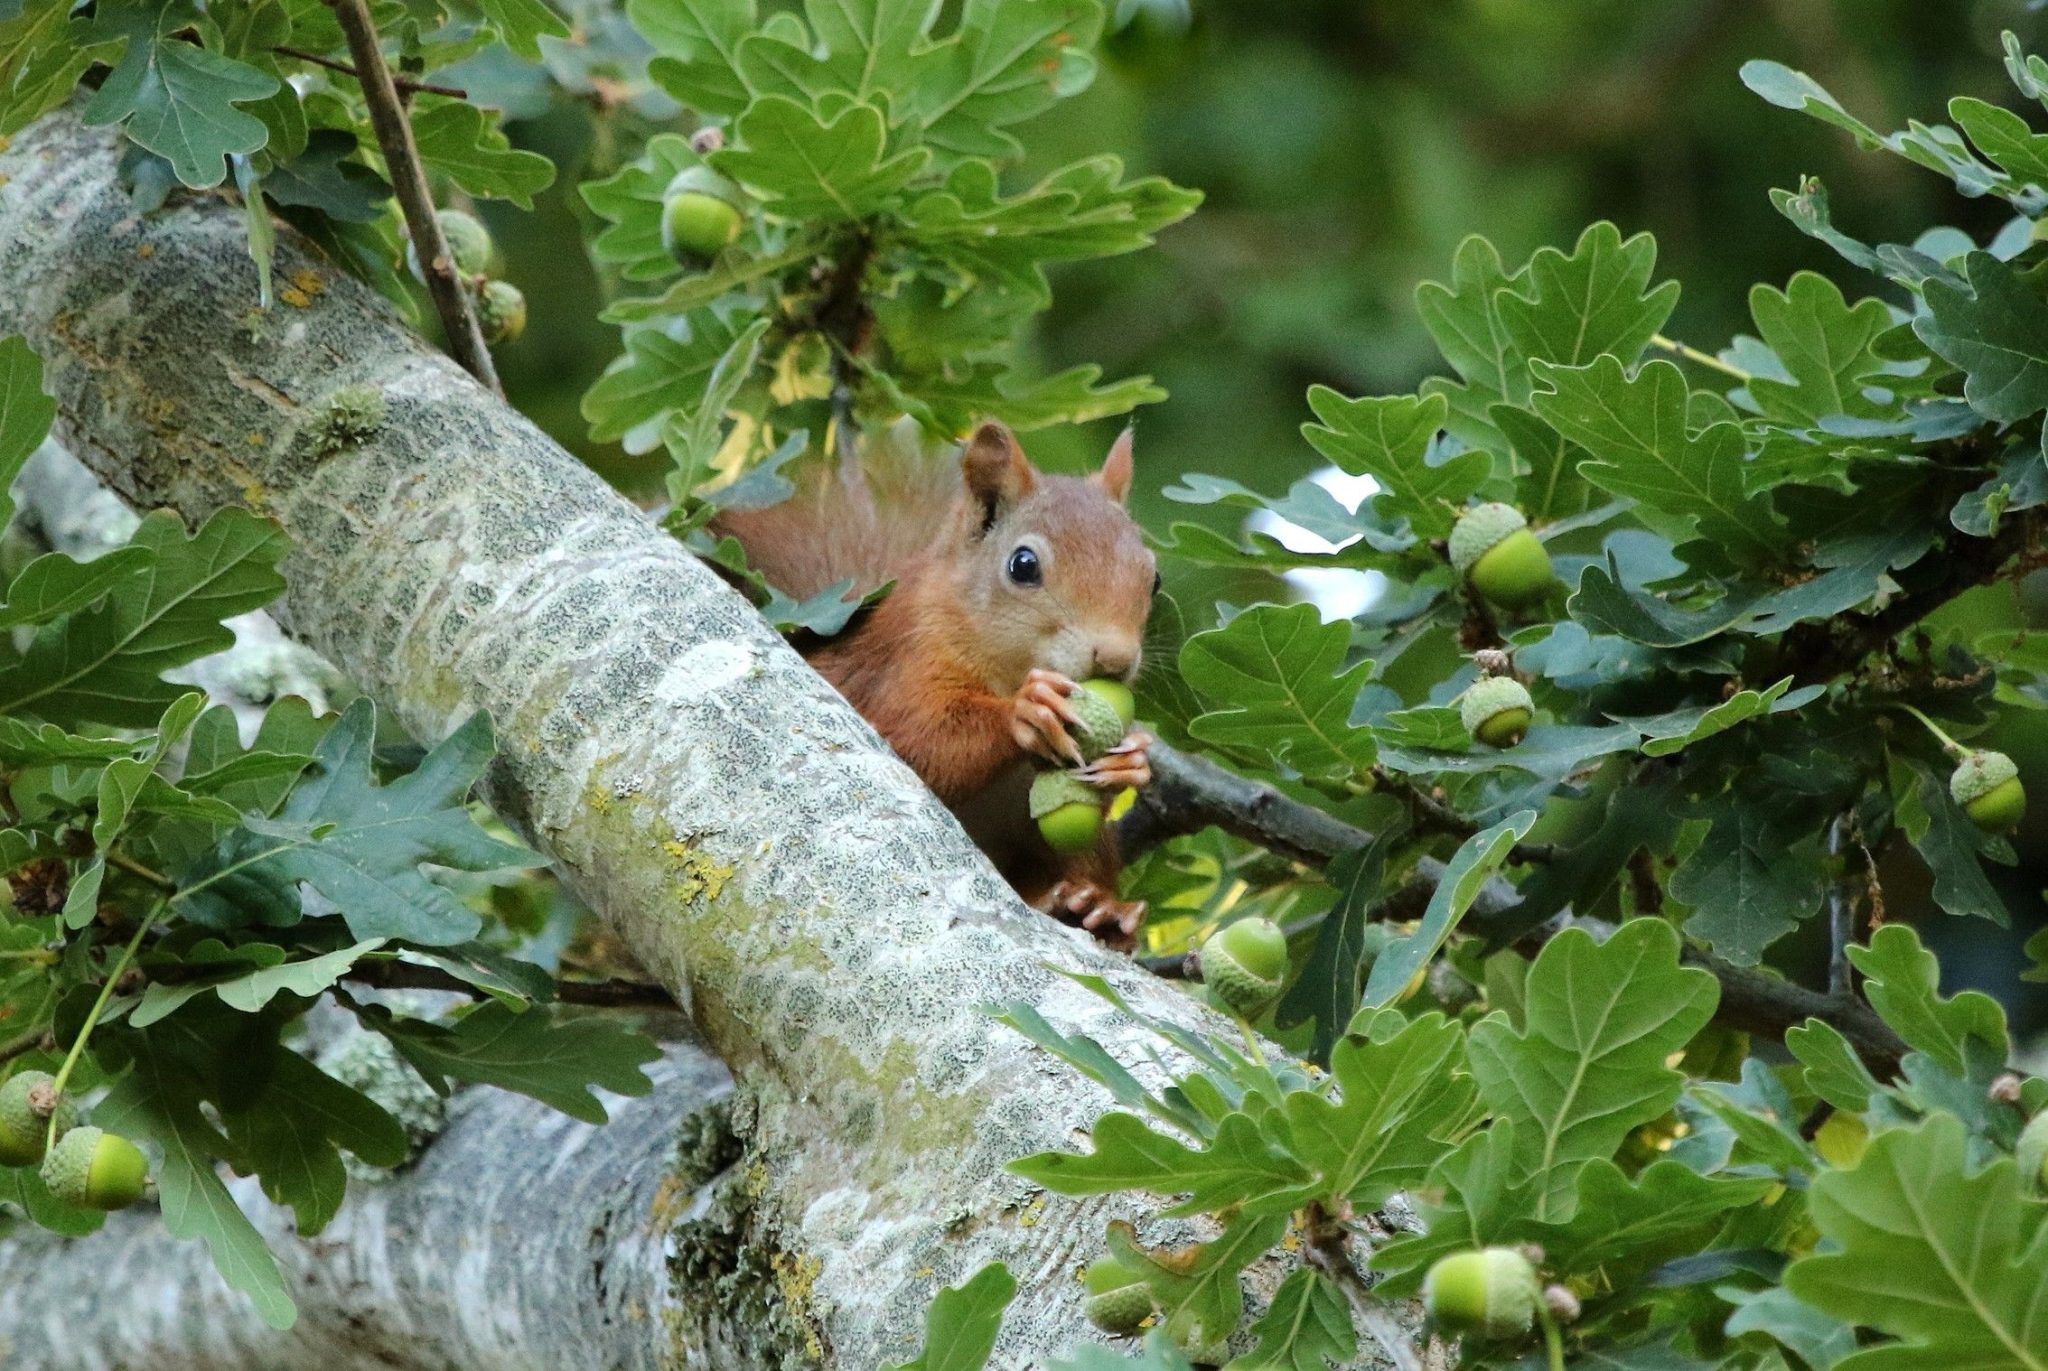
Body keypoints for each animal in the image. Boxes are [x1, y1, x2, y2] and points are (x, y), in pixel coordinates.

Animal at [712, 422, 1155, 942]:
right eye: (1023, 565)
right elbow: (917, 745)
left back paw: (1102, 910)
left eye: (1154, 579)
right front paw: (1027, 713)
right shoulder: (905, 664)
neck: (1007, 670)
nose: (1115, 659)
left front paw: (1133, 761)